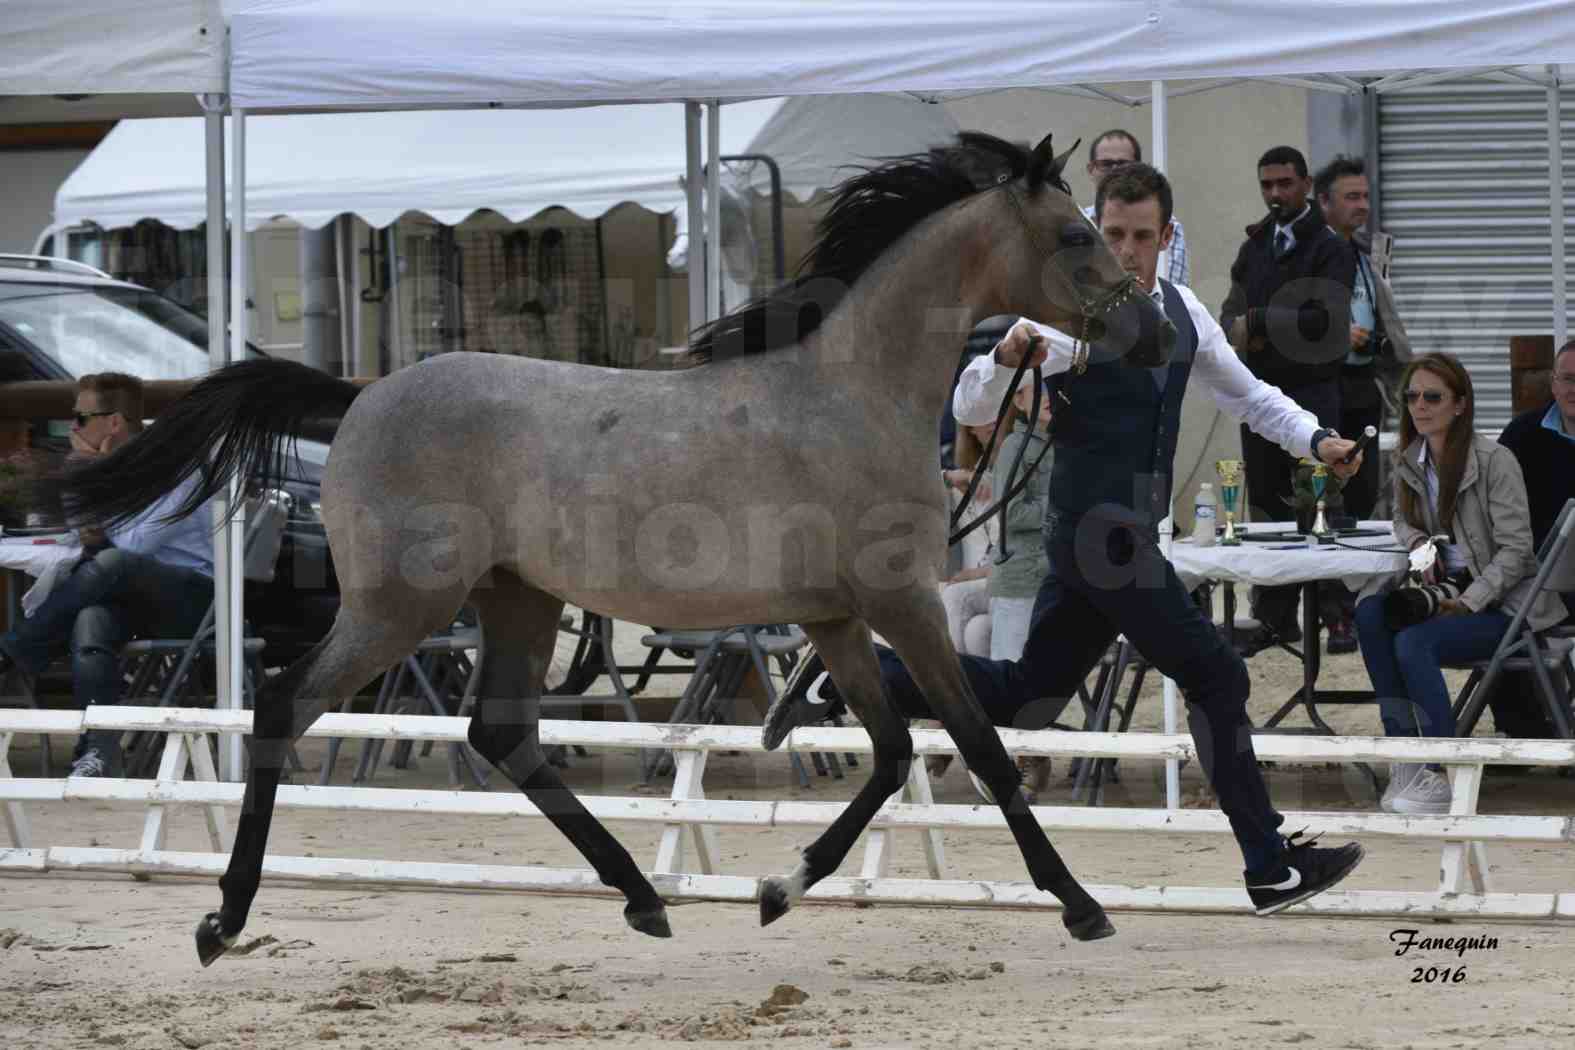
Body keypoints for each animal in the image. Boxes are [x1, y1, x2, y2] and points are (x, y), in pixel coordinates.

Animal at [49, 131, 1178, 969]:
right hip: (403, 607)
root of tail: (358, 395)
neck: (850, 391)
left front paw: (777, 888)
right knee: (286, 705)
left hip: (515, 599)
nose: (1160, 338)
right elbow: (979, 748)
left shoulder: (834, 618)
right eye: (1076, 233)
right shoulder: (900, 605)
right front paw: (1080, 905)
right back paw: (222, 921)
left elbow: (896, 751)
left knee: (500, 733)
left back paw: (642, 895)